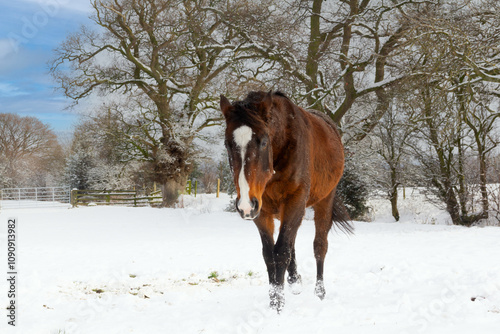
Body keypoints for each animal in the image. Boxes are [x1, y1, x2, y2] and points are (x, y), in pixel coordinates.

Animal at [219, 90, 352, 310]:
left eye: (264, 142)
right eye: (228, 144)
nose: (245, 205)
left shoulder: (295, 201)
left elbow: (281, 251)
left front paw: (278, 305)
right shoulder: (261, 210)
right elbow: (269, 254)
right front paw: (275, 298)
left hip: (324, 201)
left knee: (319, 246)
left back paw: (319, 292)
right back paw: (294, 281)